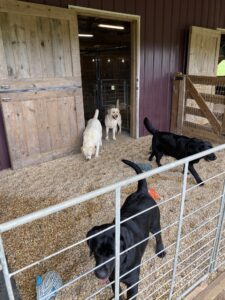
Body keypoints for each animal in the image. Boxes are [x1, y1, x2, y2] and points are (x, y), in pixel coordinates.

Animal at [86, 159, 165, 298]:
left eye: (114, 254)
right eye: (96, 251)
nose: (100, 274)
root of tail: (142, 192)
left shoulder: (133, 282)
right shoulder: (112, 279)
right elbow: (117, 290)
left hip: (155, 224)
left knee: (158, 236)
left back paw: (160, 250)